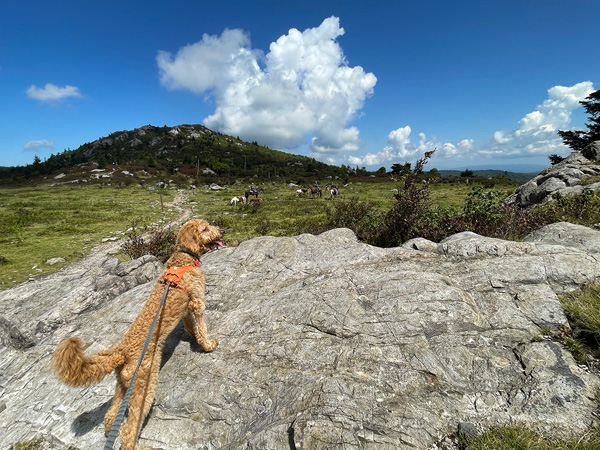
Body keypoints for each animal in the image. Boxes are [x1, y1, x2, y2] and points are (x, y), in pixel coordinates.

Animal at [51, 219, 223, 450]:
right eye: (204, 229)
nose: (221, 230)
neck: (184, 257)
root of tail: (121, 352)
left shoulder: (186, 308)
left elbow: (190, 326)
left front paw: (193, 337)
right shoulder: (196, 301)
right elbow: (202, 326)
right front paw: (207, 345)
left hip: (123, 386)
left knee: (111, 416)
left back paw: (110, 430)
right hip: (144, 385)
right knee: (129, 429)